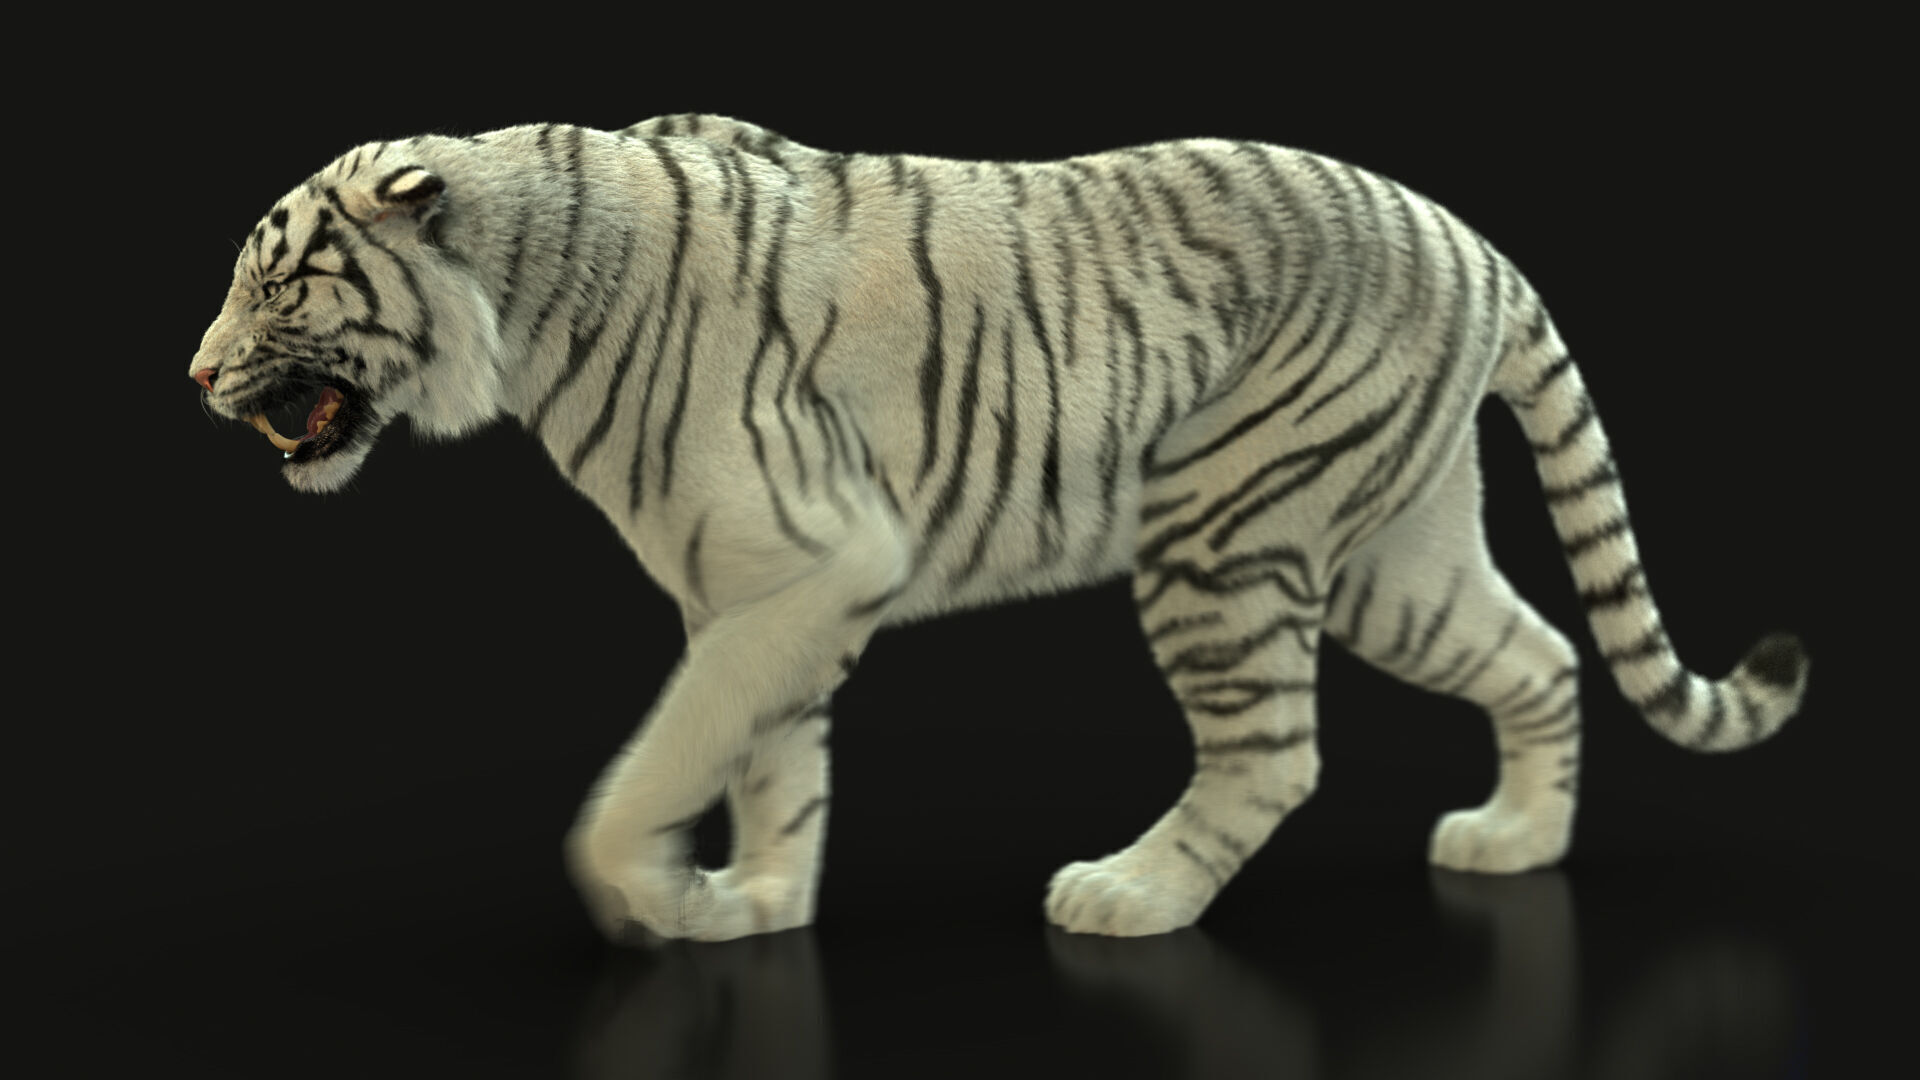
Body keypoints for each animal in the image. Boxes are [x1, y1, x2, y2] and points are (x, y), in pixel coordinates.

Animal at [189, 113, 1809, 942]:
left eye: (275, 286)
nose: (195, 377)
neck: (530, 304)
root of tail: (1472, 239)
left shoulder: (815, 563)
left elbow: (656, 762)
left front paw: (643, 893)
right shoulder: (758, 591)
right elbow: (767, 757)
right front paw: (756, 899)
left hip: (1224, 528)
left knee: (1275, 752)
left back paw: (1131, 893)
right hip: (1393, 553)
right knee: (1540, 656)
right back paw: (1516, 844)